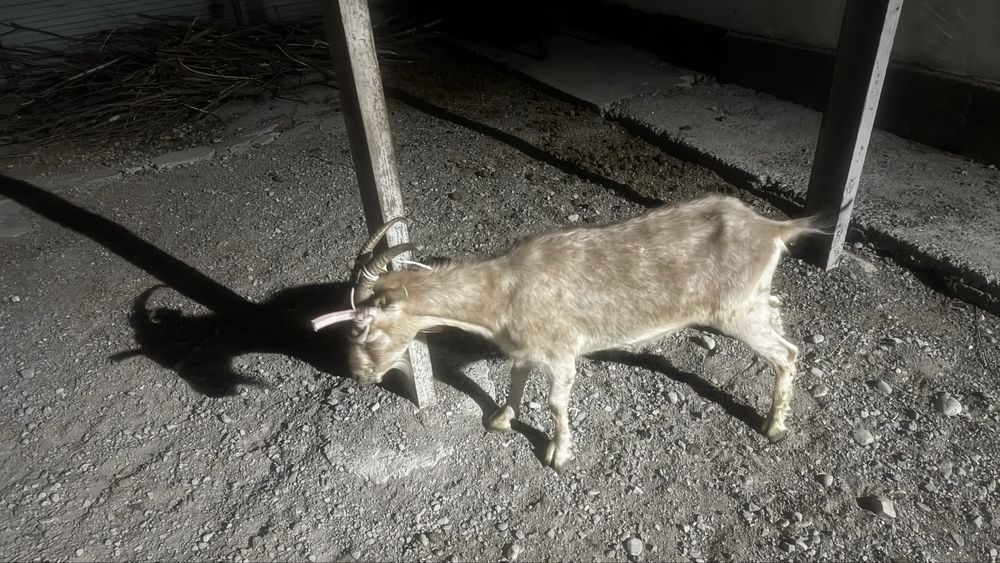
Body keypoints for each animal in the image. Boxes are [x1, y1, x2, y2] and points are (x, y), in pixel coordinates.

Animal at [313, 195, 820, 471]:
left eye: (361, 327)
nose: (357, 375)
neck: (502, 290)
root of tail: (773, 228)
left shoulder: (561, 352)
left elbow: (556, 402)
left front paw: (559, 454)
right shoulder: (523, 349)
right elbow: (515, 380)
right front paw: (501, 419)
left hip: (734, 311)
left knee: (787, 353)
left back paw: (775, 426)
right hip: (755, 300)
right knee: (779, 317)